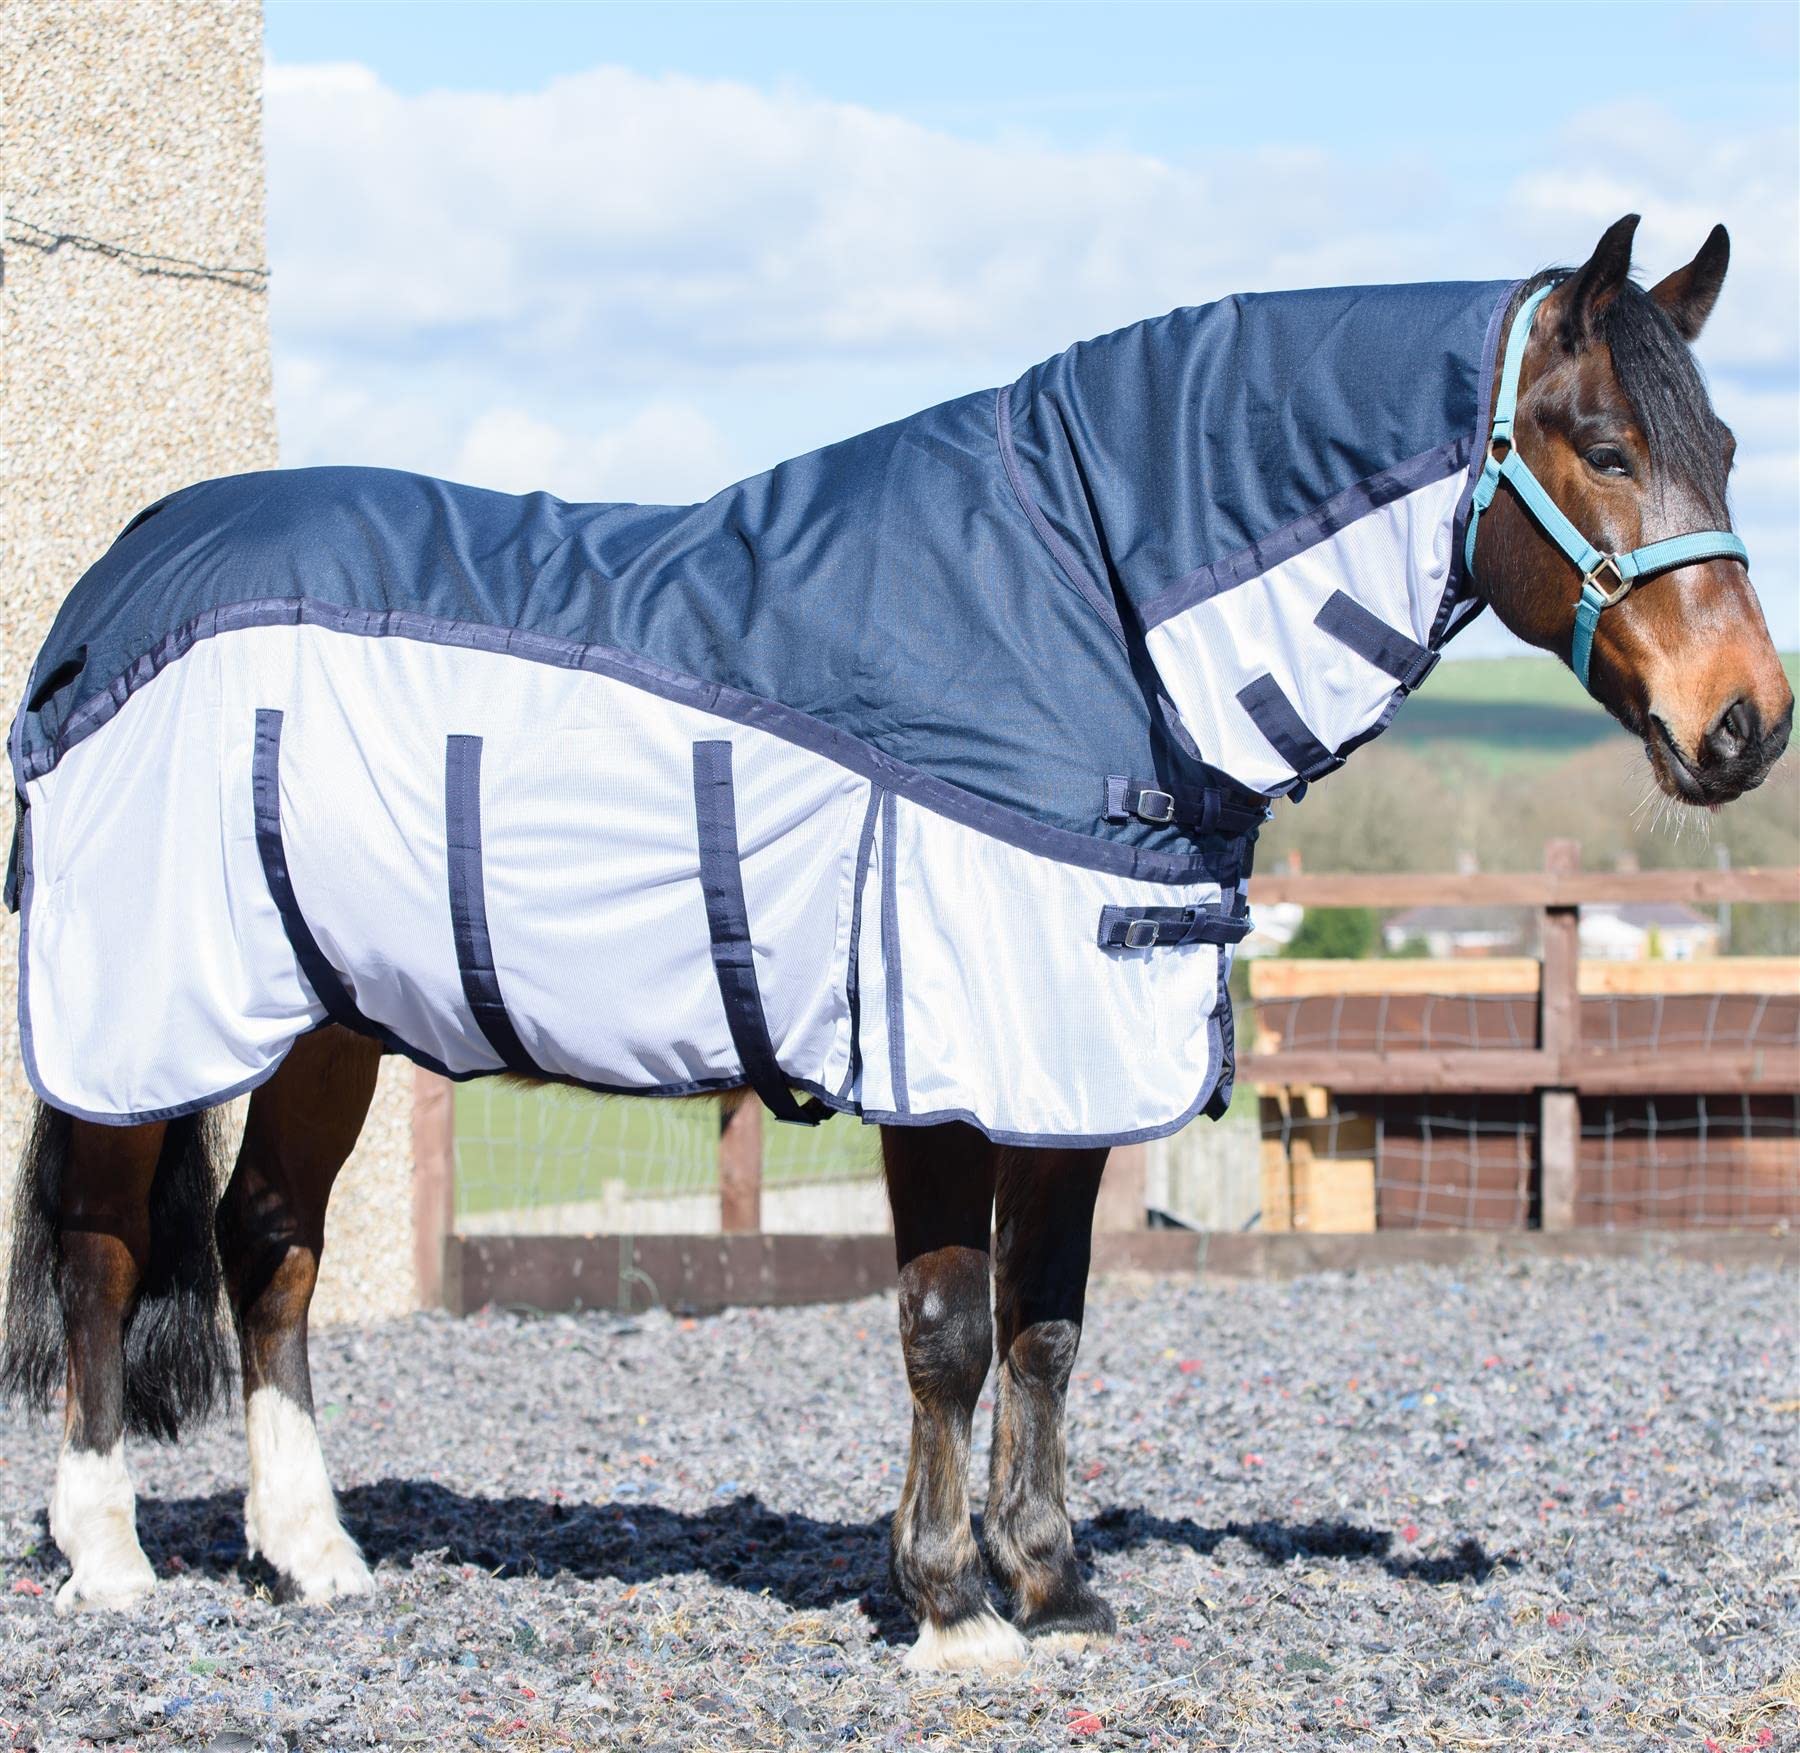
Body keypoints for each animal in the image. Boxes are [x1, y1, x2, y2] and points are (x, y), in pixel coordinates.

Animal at [2, 215, 1789, 1674]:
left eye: (1723, 444)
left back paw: (314, 1555)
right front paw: (949, 1605)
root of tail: (122, 577)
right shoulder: (944, 1054)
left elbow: (1046, 1324)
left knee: (269, 1243)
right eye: (1604, 446)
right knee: (102, 1255)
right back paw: (109, 1558)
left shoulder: (1072, 1053)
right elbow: (946, 1330)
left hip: (323, 1022)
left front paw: (1053, 1581)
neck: (1085, 602)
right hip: (141, 1013)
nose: (1747, 724)